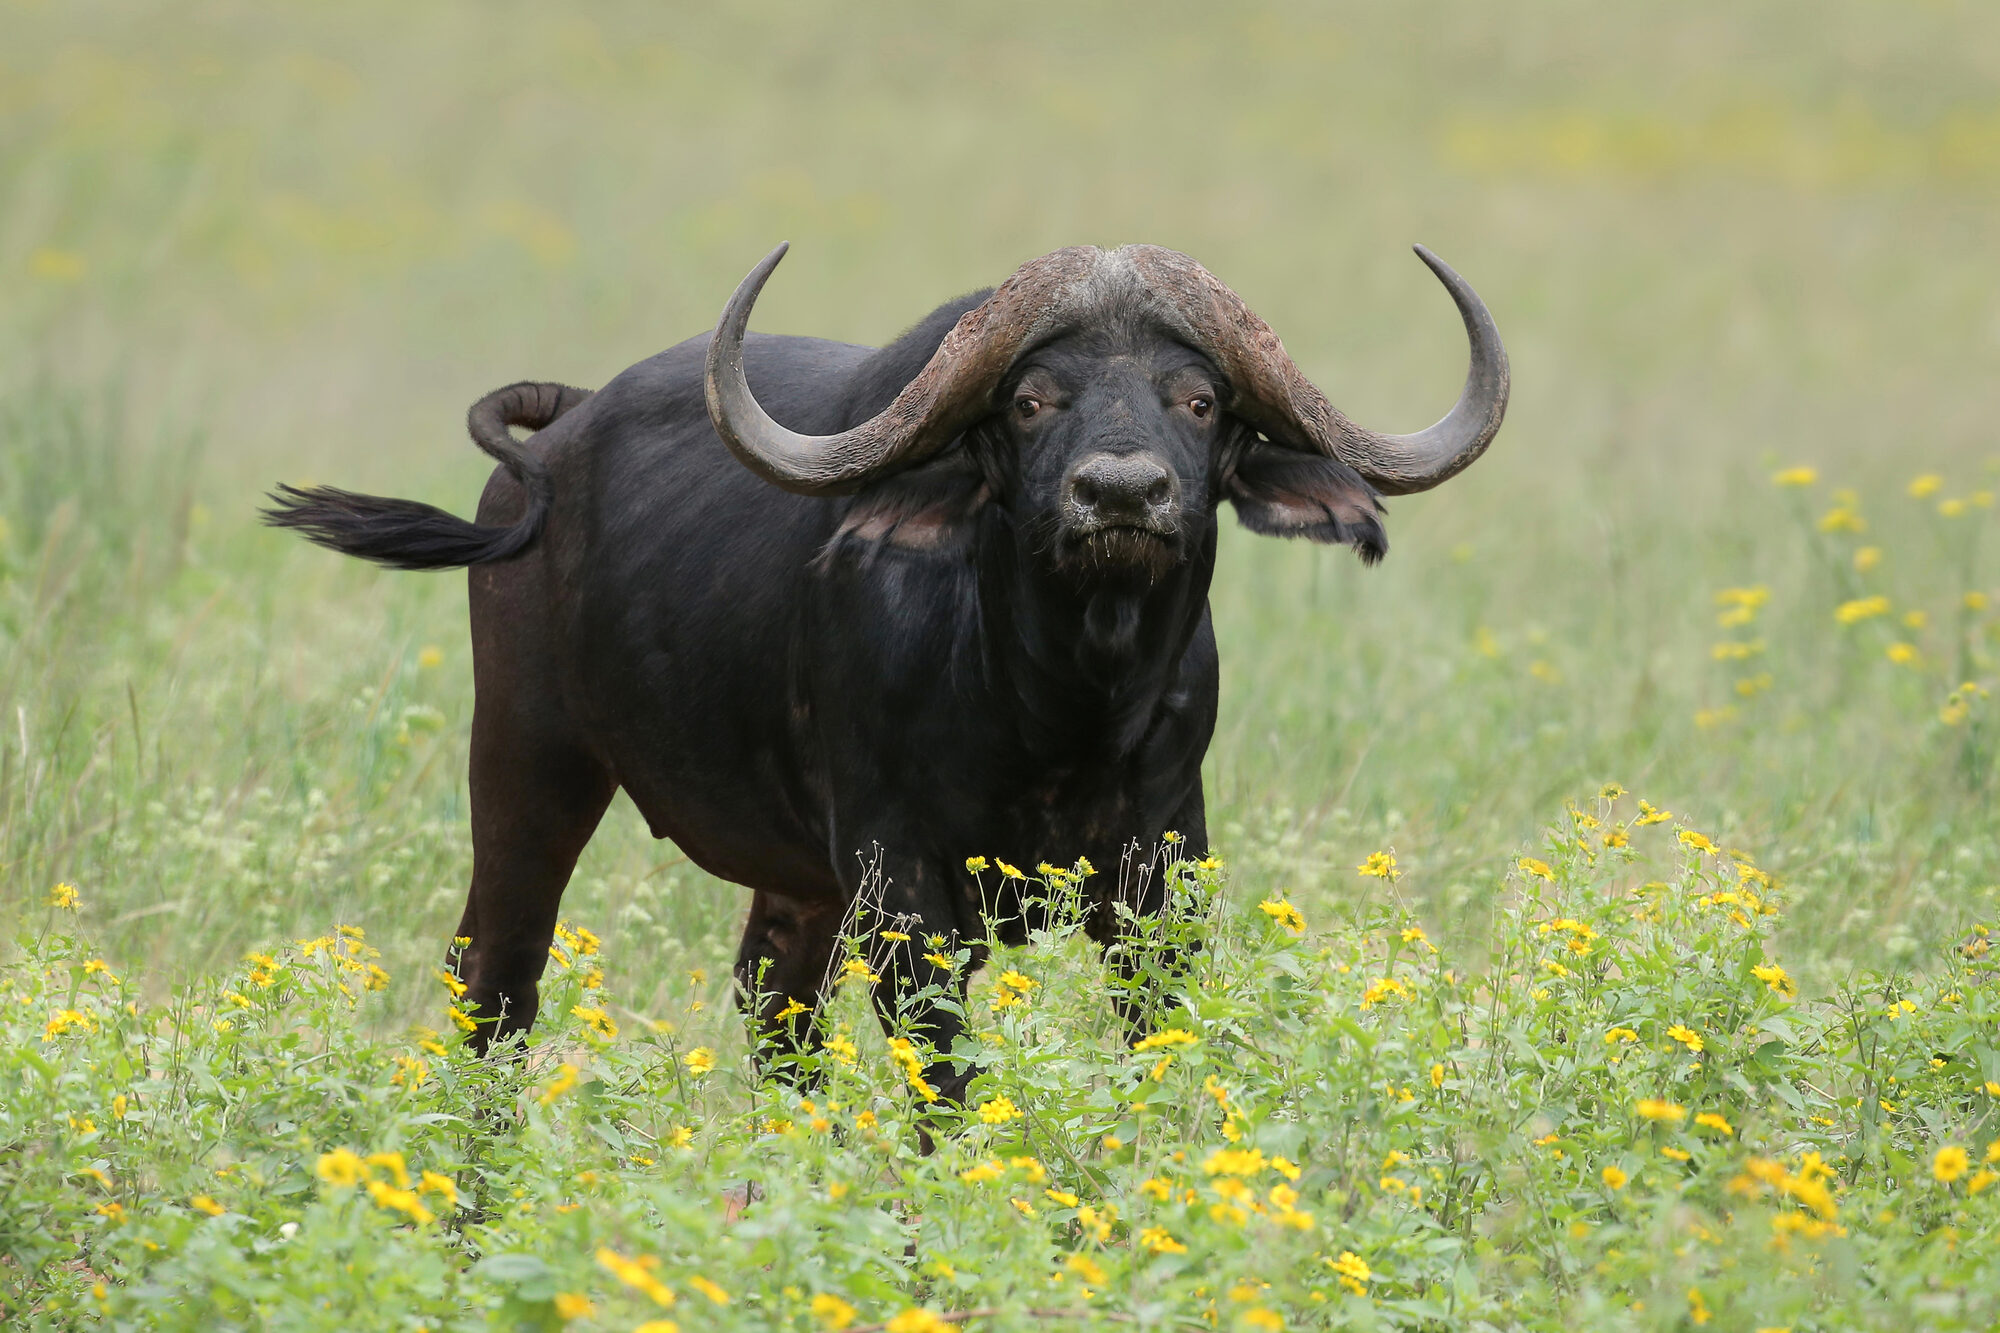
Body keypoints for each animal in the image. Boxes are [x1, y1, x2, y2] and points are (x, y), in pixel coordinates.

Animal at [265, 242, 1508, 1102]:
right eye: (1031, 399)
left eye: (1197, 400)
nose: (1120, 493)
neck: (1057, 711)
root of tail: (555, 440)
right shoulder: (903, 886)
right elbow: (945, 1082)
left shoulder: (1160, 868)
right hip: (529, 764)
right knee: (497, 980)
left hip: (795, 879)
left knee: (773, 1010)